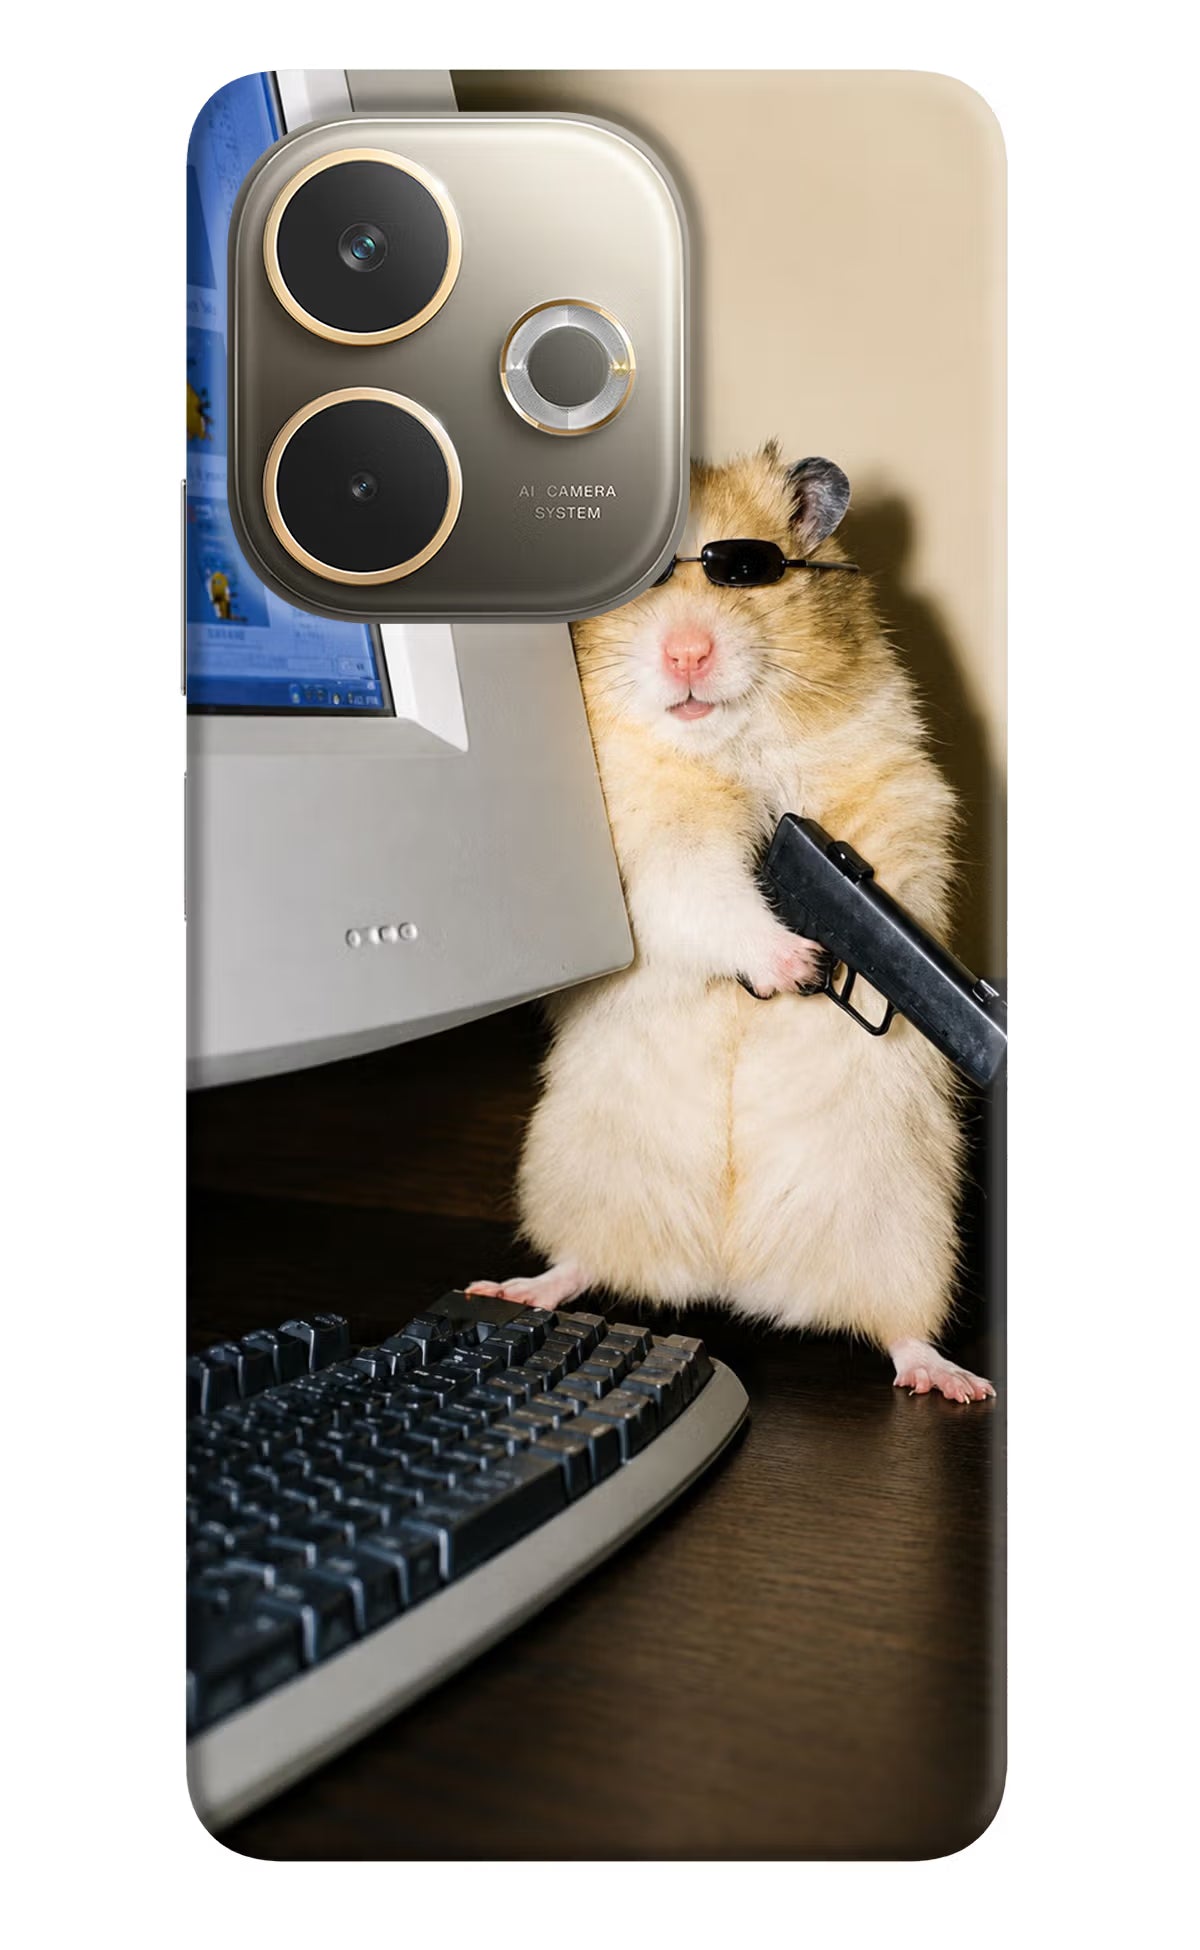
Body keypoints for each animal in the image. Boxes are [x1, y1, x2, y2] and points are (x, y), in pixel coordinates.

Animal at [469, 445, 993, 1403]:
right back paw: (514, 1288)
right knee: (582, 1263)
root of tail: (730, 1276)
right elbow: (708, 895)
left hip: (909, 1230)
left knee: (900, 1329)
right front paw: (798, 963)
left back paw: (953, 1381)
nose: (687, 652)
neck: (726, 746)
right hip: (579, 1176)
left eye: (746, 572)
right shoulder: (650, 851)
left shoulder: (895, 790)